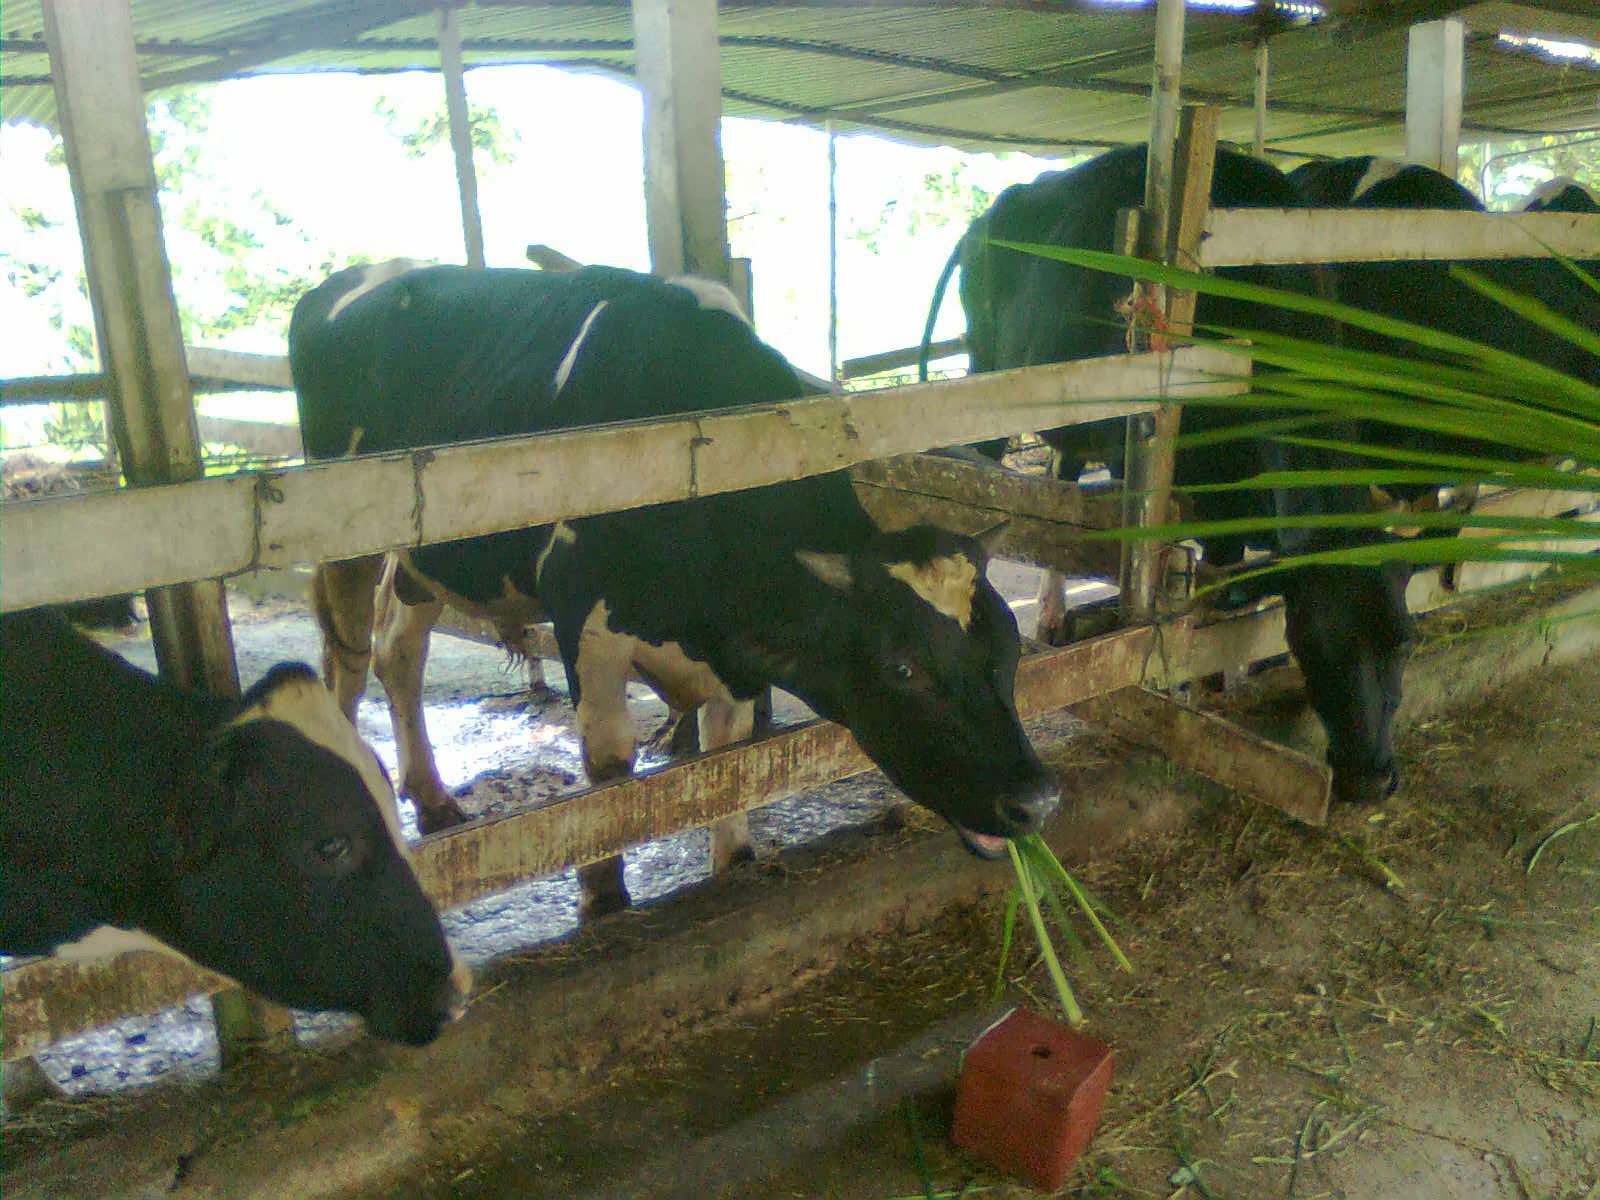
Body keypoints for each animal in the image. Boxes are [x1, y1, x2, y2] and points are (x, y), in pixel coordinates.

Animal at [928, 148, 1414, 809]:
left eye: (1404, 639)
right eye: (1315, 643)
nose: (1370, 780)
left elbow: (1221, 583)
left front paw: (1221, 678)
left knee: (1061, 478)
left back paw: (1052, 613)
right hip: (989, 381)